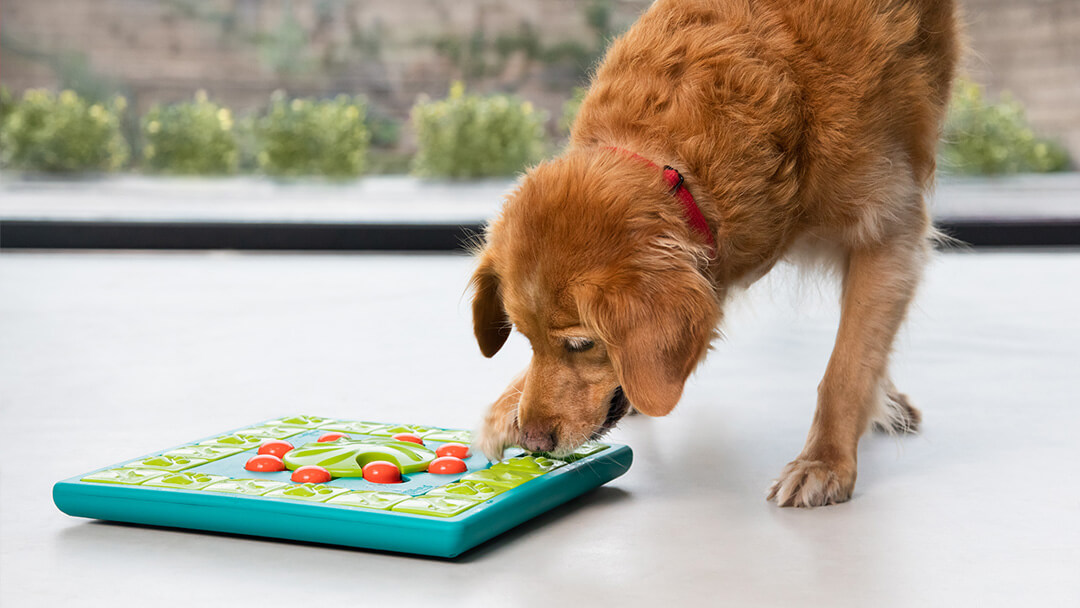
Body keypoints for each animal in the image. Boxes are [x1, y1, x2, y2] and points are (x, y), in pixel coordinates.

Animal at [468, 0, 959, 507]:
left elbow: (846, 367)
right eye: (526, 339)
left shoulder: (890, 227)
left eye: (582, 345)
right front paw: (506, 407)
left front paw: (824, 461)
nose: (534, 443)